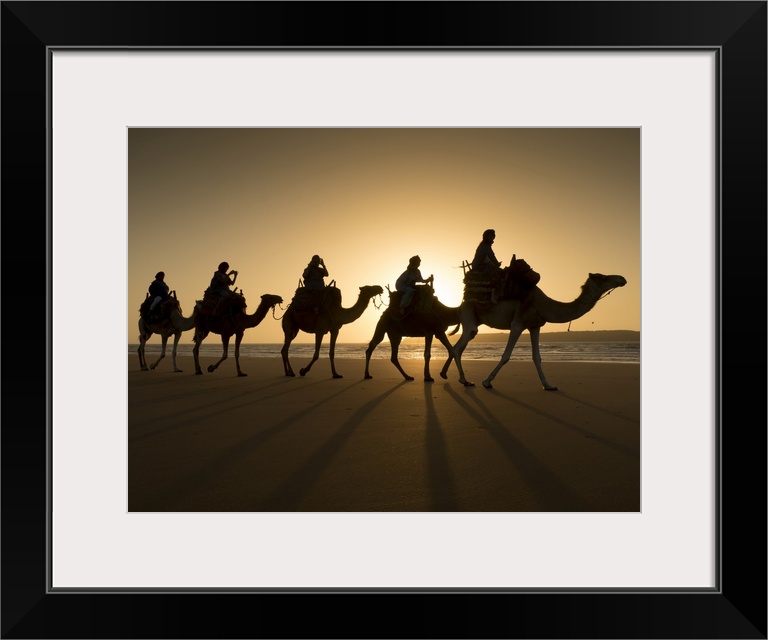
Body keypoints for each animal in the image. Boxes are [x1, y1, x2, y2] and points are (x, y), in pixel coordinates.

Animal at [440, 272, 628, 388]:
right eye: (602, 277)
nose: (622, 279)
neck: (543, 304)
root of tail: (460, 304)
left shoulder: (535, 326)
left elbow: (537, 357)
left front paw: (548, 385)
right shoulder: (518, 323)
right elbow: (506, 355)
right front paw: (487, 381)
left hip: (474, 321)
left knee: (458, 347)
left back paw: (446, 375)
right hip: (469, 317)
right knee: (458, 347)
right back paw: (464, 380)